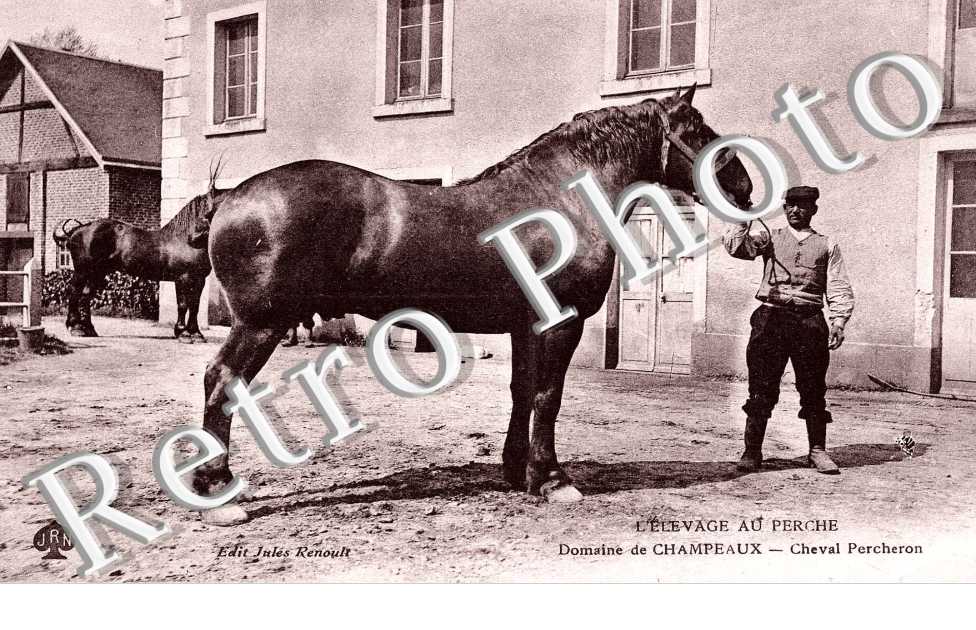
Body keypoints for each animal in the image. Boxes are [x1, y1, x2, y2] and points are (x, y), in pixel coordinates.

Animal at [53, 186, 227, 343]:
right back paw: (75, 328)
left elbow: (194, 306)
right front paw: (183, 334)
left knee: (85, 296)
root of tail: (77, 230)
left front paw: (196, 334)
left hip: (97, 273)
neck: (187, 239)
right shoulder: (183, 279)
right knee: (74, 292)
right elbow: (183, 305)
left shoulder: (199, 280)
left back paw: (88, 329)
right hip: (83, 271)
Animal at [191, 86, 754, 521]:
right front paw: (553, 479)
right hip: (261, 324)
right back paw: (217, 491)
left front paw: (517, 470)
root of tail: (232, 198)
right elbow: (549, 396)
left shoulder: (527, 326)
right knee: (222, 382)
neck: (559, 199)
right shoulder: (561, 325)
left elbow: (523, 393)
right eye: (699, 129)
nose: (745, 187)